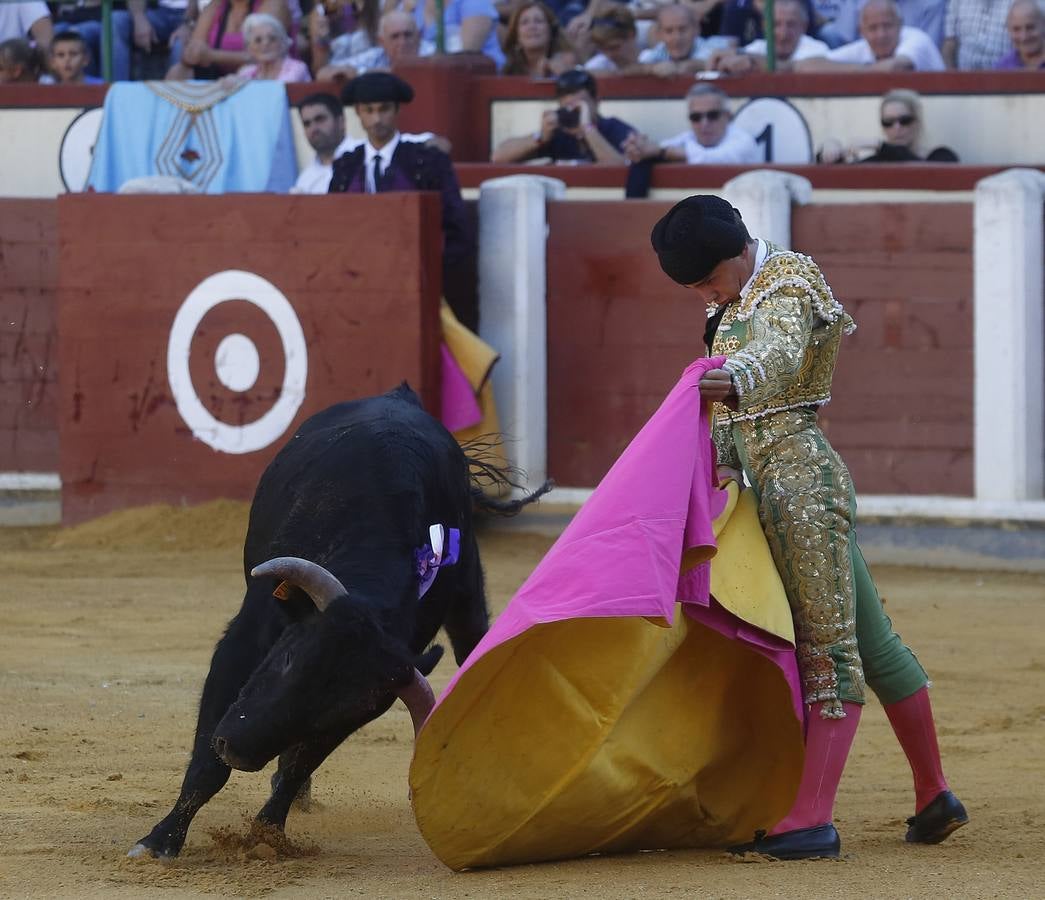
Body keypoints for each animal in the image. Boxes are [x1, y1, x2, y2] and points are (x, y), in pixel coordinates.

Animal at [128, 384, 547, 857]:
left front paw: (267, 836)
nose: (236, 749)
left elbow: (299, 763)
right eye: (288, 661)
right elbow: (207, 763)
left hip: (468, 600)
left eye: (332, 712)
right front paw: (160, 841)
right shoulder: (244, 642)